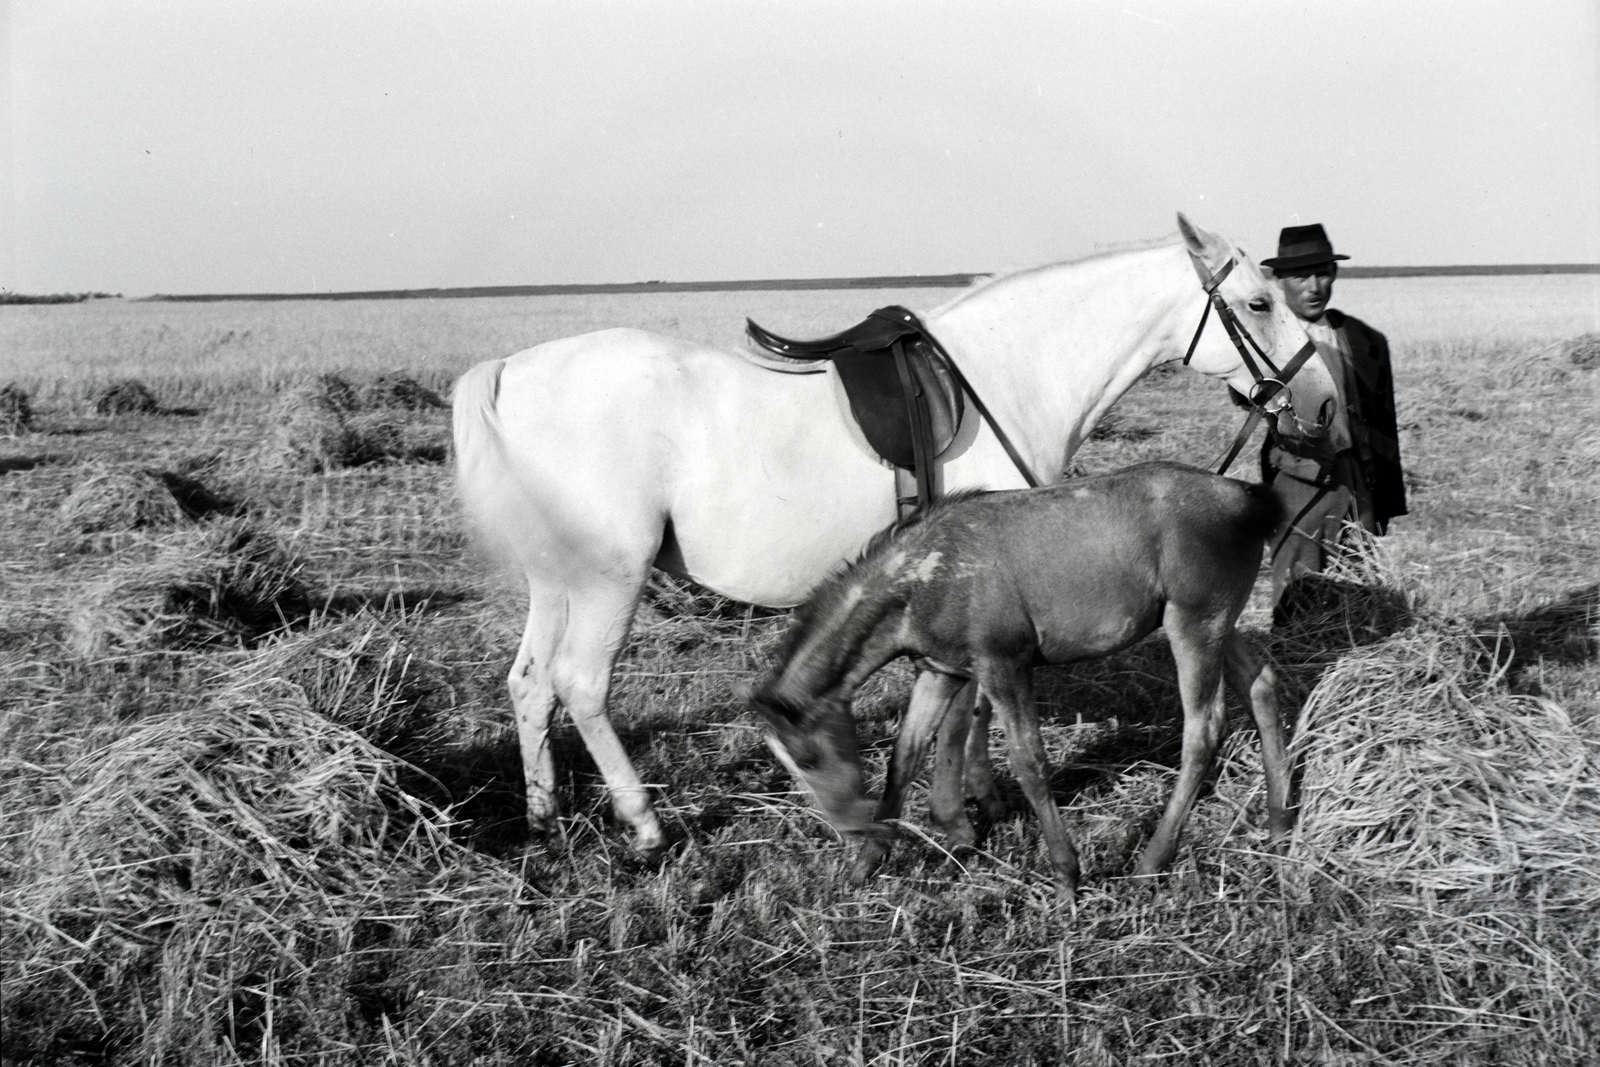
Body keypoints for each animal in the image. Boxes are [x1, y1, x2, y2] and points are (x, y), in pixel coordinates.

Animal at [454, 212, 1337, 857]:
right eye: (1259, 303)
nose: (1322, 401)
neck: (1008, 374)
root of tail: (509, 371)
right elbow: (971, 709)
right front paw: (973, 804)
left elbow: (960, 704)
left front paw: (970, 799)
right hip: (610, 577)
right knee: (580, 683)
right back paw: (643, 824)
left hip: (557, 580)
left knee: (530, 682)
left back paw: (543, 819)